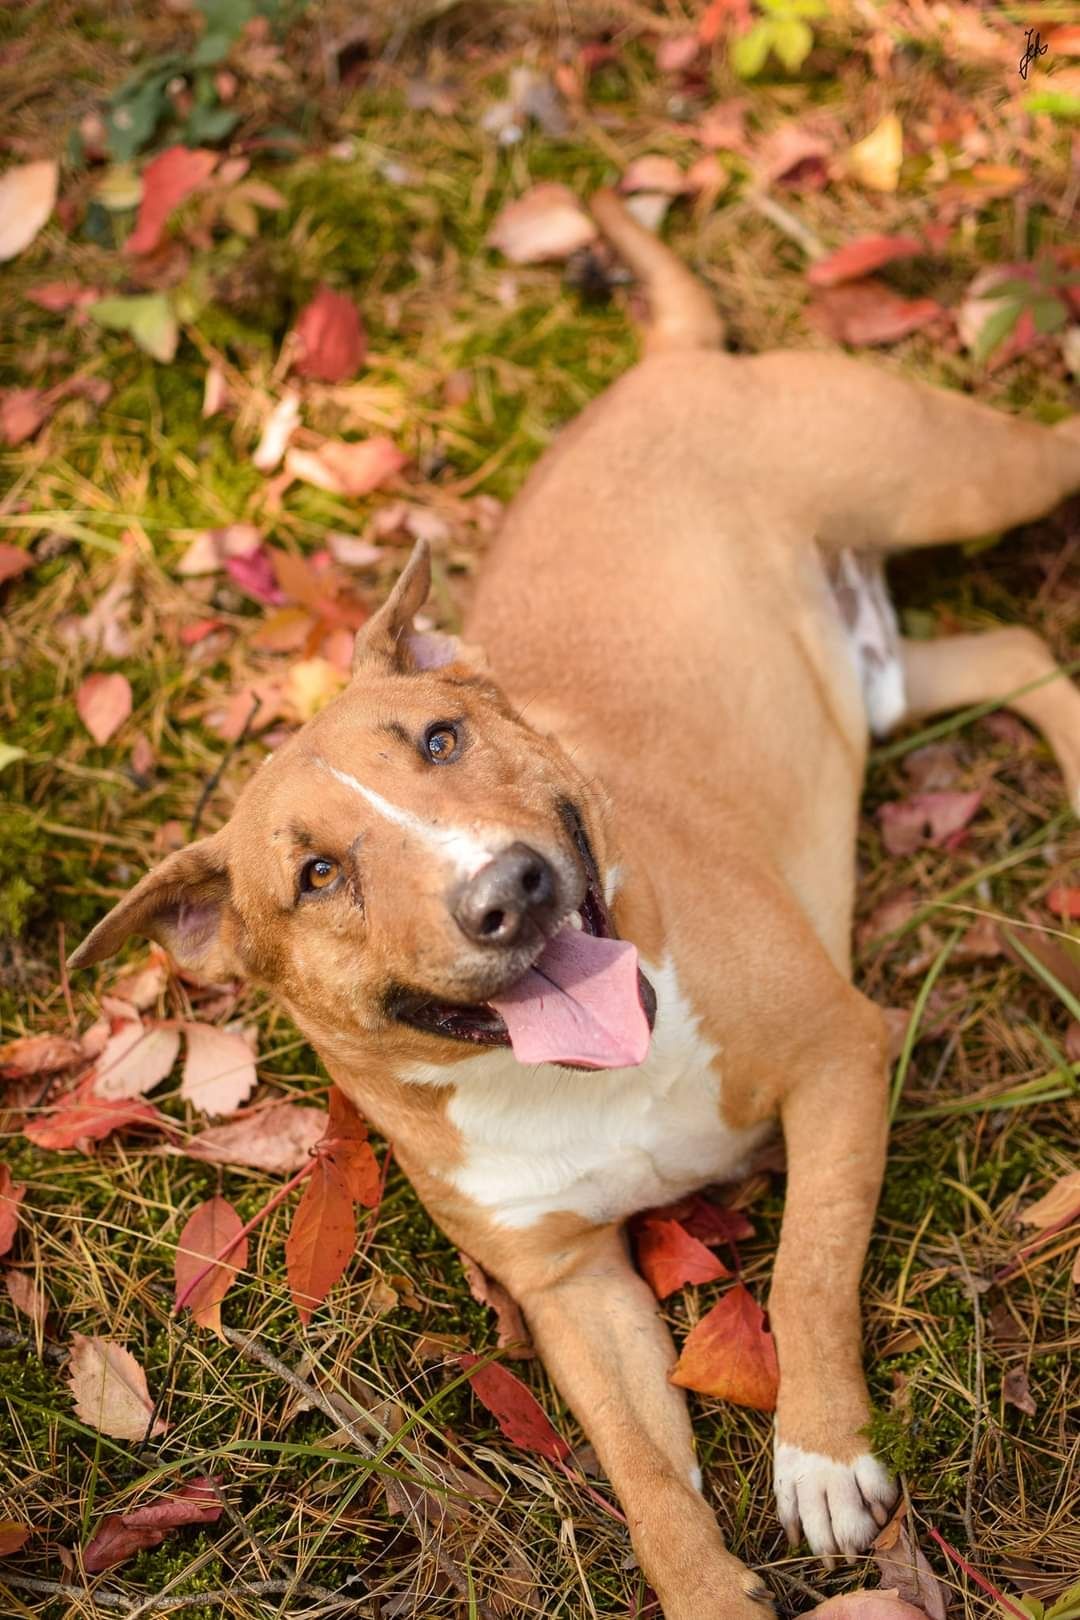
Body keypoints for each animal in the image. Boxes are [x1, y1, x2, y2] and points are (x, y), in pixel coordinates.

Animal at [71, 192, 1080, 1620]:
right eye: (317, 875)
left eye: (440, 739)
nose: (509, 891)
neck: (579, 1075)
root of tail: (665, 365)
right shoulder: (567, 1288)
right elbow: (645, 1476)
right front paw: (711, 1586)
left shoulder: (840, 1055)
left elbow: (806, 1270)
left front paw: (822, 1452)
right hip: (877, 679)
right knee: (1016, 655)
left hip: (965, 477)